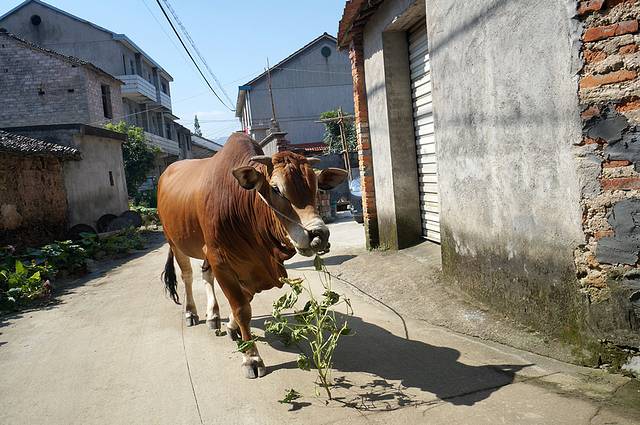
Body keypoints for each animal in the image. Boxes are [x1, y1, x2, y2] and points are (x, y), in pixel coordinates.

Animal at [156, 132, 344, 378]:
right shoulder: (221, 260)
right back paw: (191, 313)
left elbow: (246, 298)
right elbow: (241, 307)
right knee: (186, 275)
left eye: (315, 188)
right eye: (276, 189)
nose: (319, 234)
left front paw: (231, 327)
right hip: (174, 241)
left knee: (205, 274)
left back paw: (213, 316)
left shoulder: (250, 265)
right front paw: (251, 357)